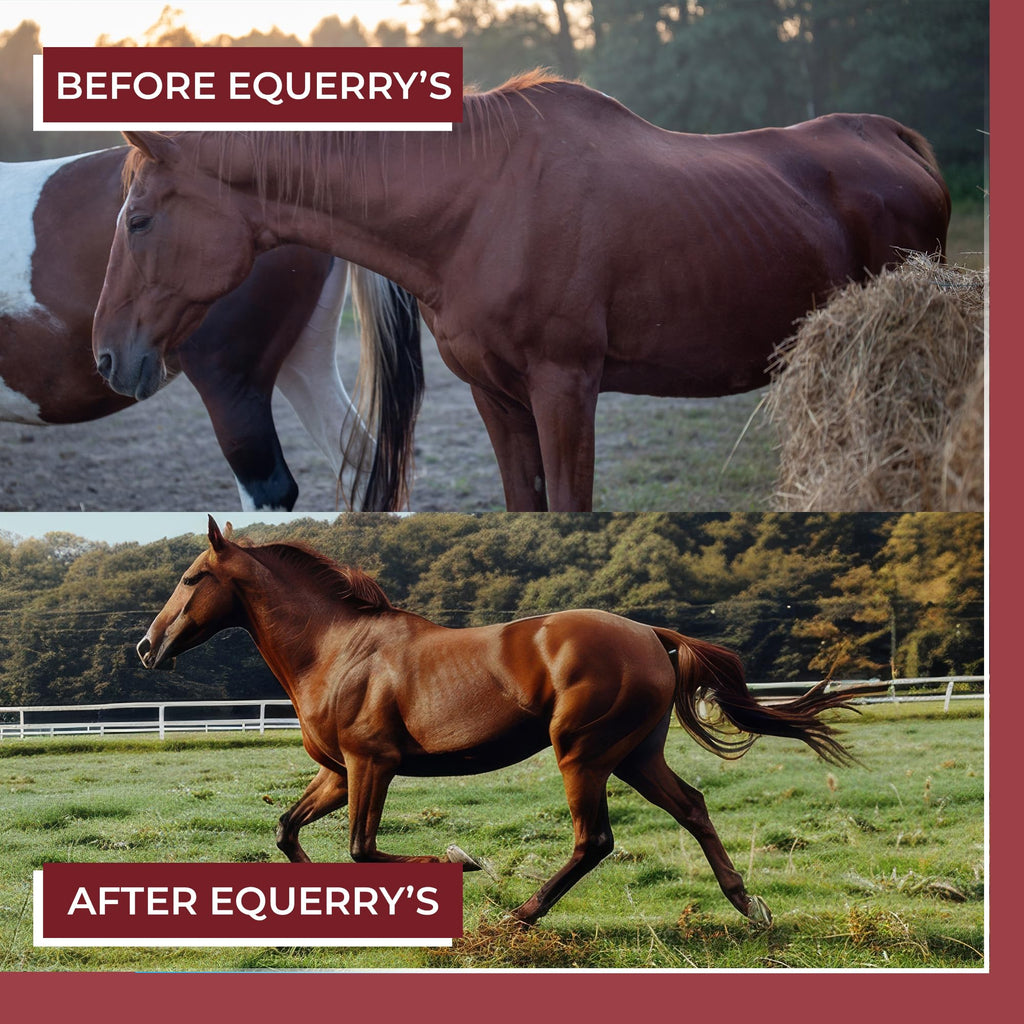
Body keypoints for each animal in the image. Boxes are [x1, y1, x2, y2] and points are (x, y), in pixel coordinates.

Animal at [1, 146, 422, 510]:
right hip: (304, 361)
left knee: (270, 489)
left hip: (230, 386)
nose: (105, 357)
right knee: (362, 466)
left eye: (138, 223)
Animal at [91, 72, 951, 512]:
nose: (106, 356)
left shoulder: (565, 389)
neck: (481, 202)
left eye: (138, 219)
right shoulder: (496, 397)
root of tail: (894, 140)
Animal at [135, 515, 862, 926]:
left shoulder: (373, 764)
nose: (147, 646)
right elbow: (288, 831)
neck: (336, 649)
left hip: (582, 753)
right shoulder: (340, 773)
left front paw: (462, 861)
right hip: (635, 755)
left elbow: (363, 849)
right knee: (692, 806)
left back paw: (521, 914)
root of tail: (652, 634)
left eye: (192, 577)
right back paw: (749, 905)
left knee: (595, 840)